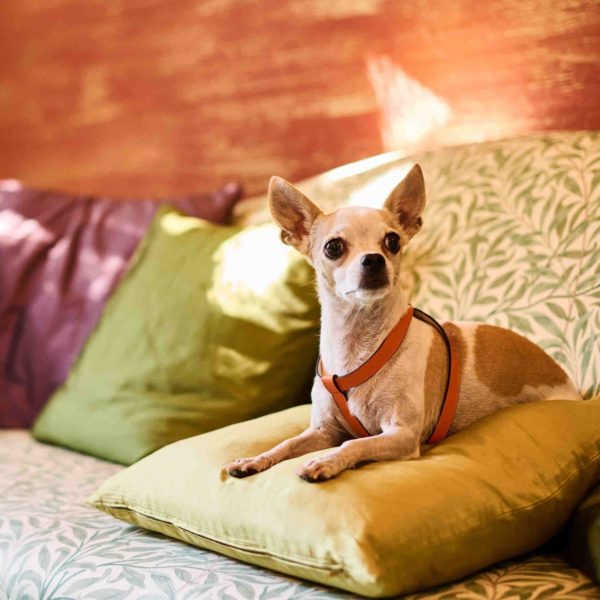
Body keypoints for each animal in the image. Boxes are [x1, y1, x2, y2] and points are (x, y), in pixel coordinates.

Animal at [223, 164, 580, 482]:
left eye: (392, 241)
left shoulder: (401, 434)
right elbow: (285, 443)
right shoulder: (322, 431)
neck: (357, 345)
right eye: (333, 247)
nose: (374, 259)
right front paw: (255, 459)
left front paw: (326, 462)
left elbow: (353, 444)